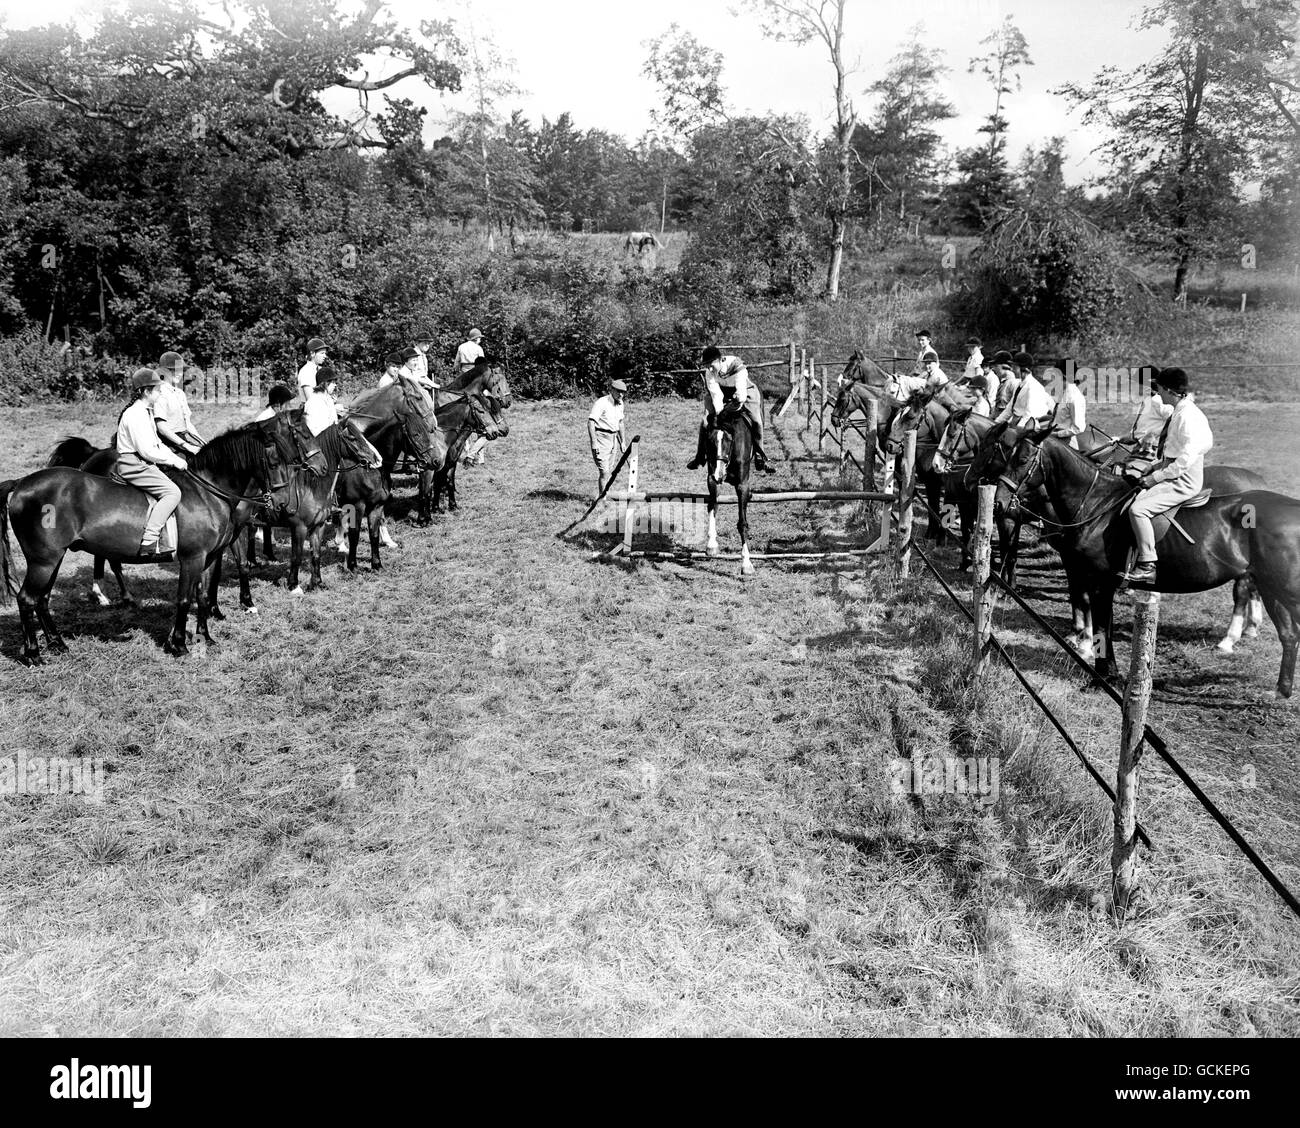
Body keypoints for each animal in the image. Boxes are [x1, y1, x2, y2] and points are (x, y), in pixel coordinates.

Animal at [1, 413, 323, 660]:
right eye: (274, 462)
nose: (281, 503)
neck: (207, 491)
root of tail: (21, 483)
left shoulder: (208, 558)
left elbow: (202, 596)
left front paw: (206, 637)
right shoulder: (192, 558)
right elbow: (184, 599)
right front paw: (179, 644)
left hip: (53, 559)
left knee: (42, 599)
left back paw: (58, 644)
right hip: (43, 561)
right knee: (27, 598)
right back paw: (34, 654)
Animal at [987, 431, 1294, 696]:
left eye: (1022, 460)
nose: (999, 503)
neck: (1097, 506)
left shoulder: (1097, 581)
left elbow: (1099, 623)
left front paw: (1103, 675)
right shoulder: (1086, 572)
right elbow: (1095, 616)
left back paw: (1234, 641)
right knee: (1288, 631)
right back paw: (1279, 686)